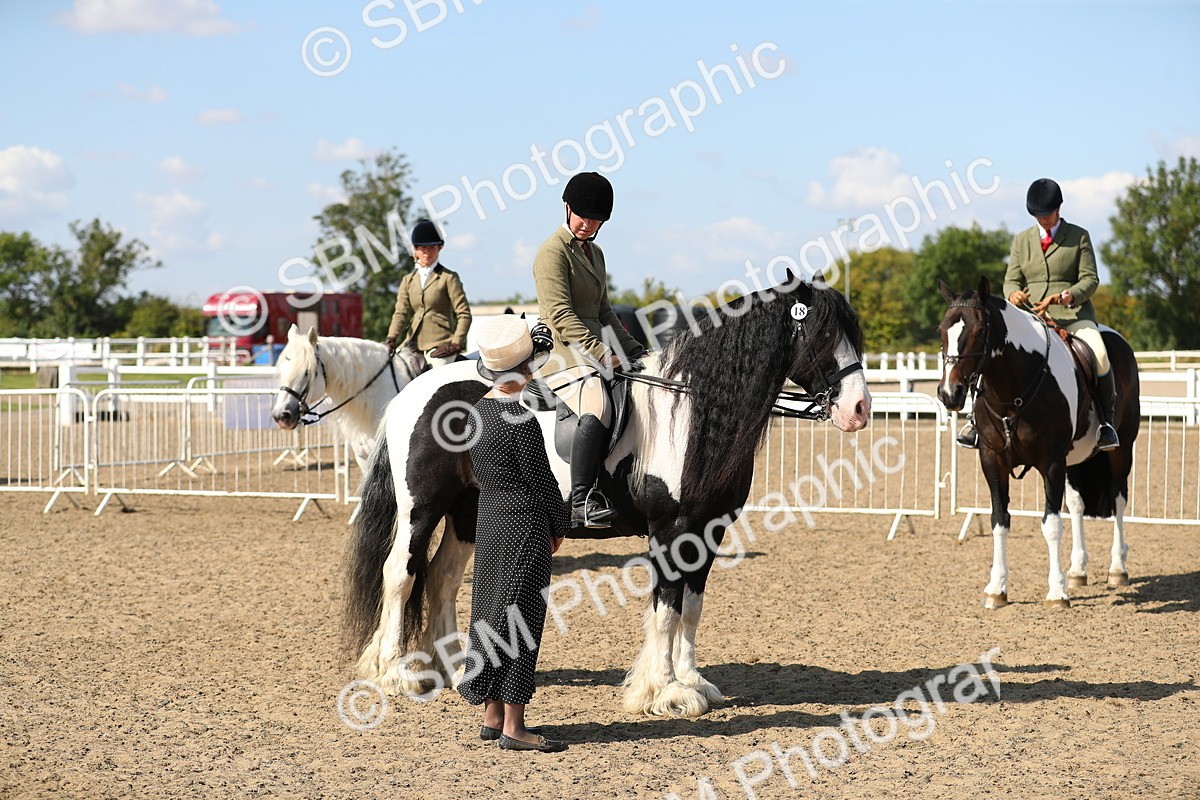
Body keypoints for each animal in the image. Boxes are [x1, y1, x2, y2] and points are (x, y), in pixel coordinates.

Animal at [343, 275, 872, 719]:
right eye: (821, 335)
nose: (860, 409)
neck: (689, 413)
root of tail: (414, 393)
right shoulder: (671, 531)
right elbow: (666, 610)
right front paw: (663, 692)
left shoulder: (708, 530)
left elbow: (691, 609)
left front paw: (693, 683)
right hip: (423, 508)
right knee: (401, 575)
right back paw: (396, 674)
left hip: (467, 512)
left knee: (442, 578)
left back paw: (456, 670)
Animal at [935, 276, 1141, 609]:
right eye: (941, 330)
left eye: (979, 331)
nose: (949, 393)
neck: (1012, 389)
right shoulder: (992, 460)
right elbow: (999, 520)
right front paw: (996, 589)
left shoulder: (1052, 462)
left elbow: (1052, 524)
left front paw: (1057, 592)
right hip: (1076, 459)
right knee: (1077, 504)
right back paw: (1078, 570)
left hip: (1121, 450)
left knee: (1118, 498)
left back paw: (1117, 568)